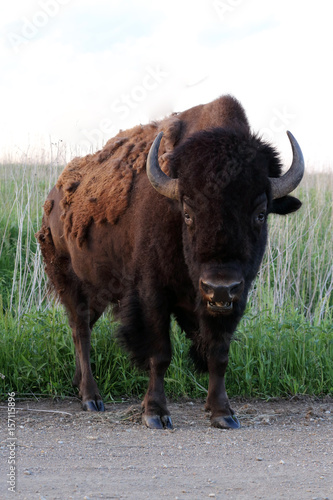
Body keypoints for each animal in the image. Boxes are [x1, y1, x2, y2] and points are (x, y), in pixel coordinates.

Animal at [36, 94, 304, 430]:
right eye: (187, 213)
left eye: (260, 213)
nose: (219, 287)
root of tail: (55, 195)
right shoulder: (152, 294)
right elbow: (160, 353)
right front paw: (155, 414)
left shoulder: (234, 299)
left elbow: (218, 353)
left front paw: (222, 414)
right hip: (68, 279)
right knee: (81, 330)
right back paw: (91, 398)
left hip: (97, 288)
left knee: (81, 328)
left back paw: (76, 384)